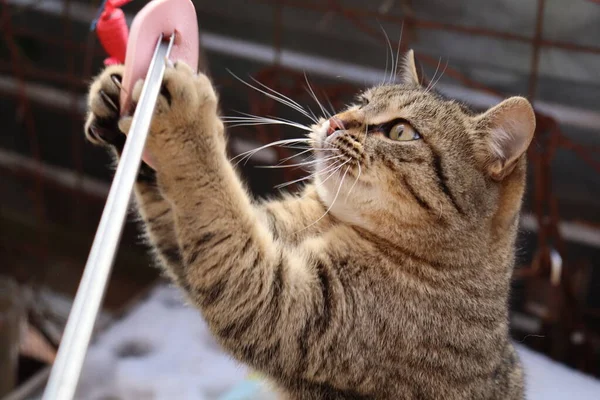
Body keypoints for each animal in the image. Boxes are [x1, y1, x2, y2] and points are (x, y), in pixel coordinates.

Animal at [83, 50, 536, 400]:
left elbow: (209, 193)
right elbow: (185, 214)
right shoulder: (265, 233)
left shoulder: (277, 303)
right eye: (361, 100)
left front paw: (188, 122)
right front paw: (116, 103)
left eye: (400, 131)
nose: (335, 121)